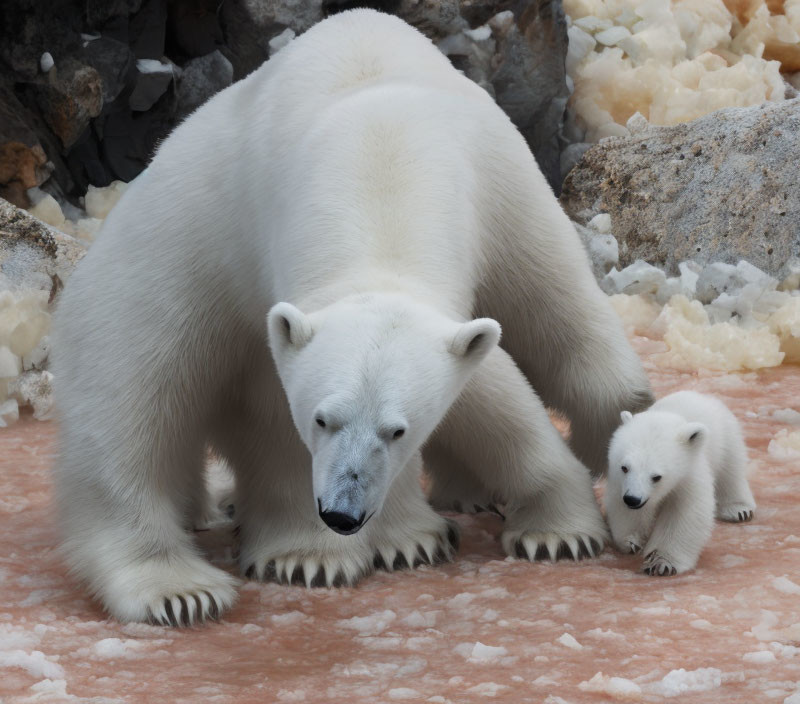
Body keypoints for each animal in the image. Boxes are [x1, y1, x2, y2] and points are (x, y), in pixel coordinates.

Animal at [51, 11, 648, 624]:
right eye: (321, 419)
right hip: (149, 284)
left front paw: (560, 526)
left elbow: (506, 370)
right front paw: (310, 556)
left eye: (399, 429)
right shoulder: (259, 279)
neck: (378, 156)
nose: (341, 514)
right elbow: (270, 417)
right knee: (131, 409)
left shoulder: (492, 211)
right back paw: (184, 586)